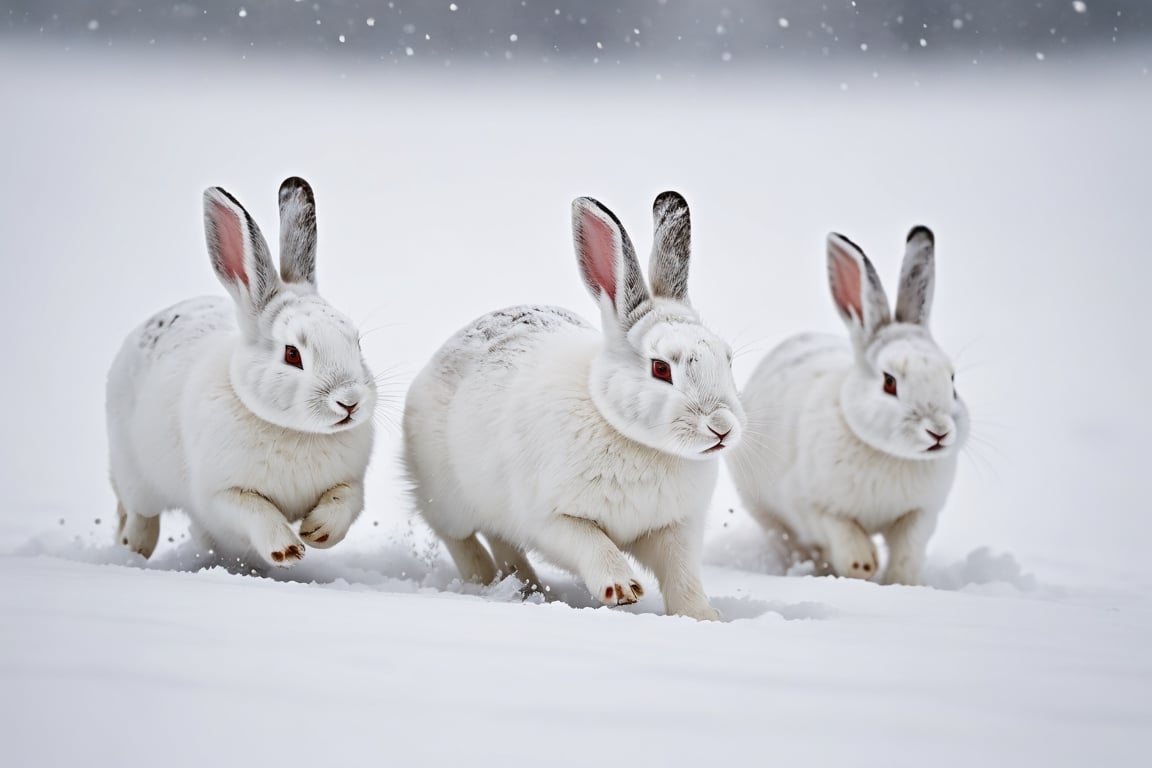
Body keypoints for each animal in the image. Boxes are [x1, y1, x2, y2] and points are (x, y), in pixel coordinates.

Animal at [105, 177, 375, 568]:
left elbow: (345, 501)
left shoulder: (351, 482)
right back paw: (131, 553)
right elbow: (255, 510)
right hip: (135, 475)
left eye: (356, 343)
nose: (350, 401)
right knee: (140, 518)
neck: (297, 431)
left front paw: (317, 532)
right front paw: (287, 549)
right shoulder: (221, 495)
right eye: (292, 355)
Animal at [405, 192, 746, 617]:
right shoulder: (553, 518)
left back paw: (523, 586)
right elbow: (592, 544)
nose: (722, 426)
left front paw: (701, 616)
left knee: (501, 539)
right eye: (661, 368)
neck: (634, 439)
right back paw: (483, 580)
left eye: (727, 358)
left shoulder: (673, 528)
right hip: (446, 498)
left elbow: (681, 574)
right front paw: (622, 588)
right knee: (461, 538)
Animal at [732, 225, 967, 584]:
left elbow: (908, 550)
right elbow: (841, 530)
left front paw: (899, 581)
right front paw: (862, 566)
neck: (889, 454)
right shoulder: (811, 505)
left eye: (952, 382)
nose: (938, 432)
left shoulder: (920, 513)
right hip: (765, 510)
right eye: (889, 382)